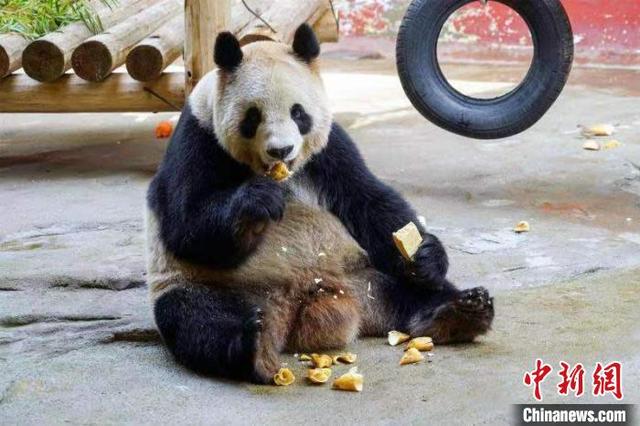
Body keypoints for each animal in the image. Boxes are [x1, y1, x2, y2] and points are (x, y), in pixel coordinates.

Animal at [145, 24, 494, 383]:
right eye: (253, 116)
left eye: (298, 113)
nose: (281, 150)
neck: (278, 173)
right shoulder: (198, 137)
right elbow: (186, 225)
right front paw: (256, 203)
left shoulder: (330, 149)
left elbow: (368, 200)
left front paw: (425, 253)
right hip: (209, 285)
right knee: (197, 318)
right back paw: (251, 345)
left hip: (366, 276)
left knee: (415, 290)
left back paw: (461, 310)